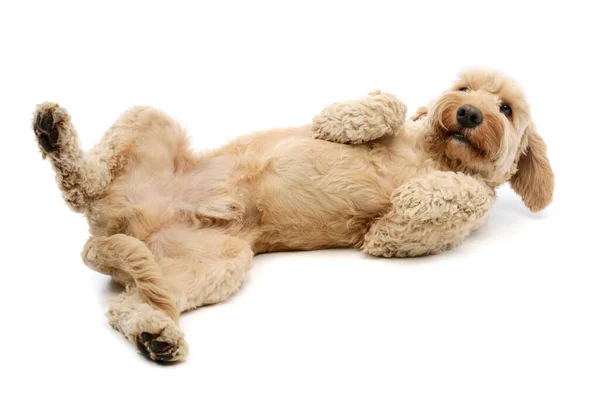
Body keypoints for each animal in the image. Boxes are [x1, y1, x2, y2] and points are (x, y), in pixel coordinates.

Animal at [29, 69, 552, 362]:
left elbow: (470, 196)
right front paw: (342, 119)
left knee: (128, 306)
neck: (437, 154)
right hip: (148, 120)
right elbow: (390, 102)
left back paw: (155, 336)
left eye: (506, 108)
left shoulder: (465, 208)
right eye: (463, 88)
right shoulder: (410, 122)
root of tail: (115, 227)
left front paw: (400, 213)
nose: (467, 114)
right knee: (81, 183)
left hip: (212, 264)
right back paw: (55, 135)